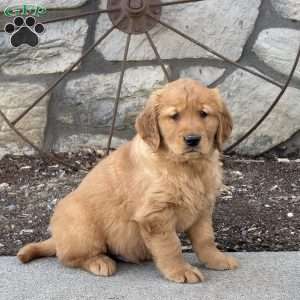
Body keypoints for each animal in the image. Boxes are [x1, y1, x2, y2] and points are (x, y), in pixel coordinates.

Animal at [18, 78, 239, 282]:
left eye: (204, 114)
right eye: (174, 116)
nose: (193, 140)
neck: (187, 168)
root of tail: (56, 237)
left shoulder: (203, 207)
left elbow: (205, 239)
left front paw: (216, 260)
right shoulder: (155, 214)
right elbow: (171, 245)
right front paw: (180, 271)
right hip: (82, 224)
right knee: (69, 257)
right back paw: (99, 261)